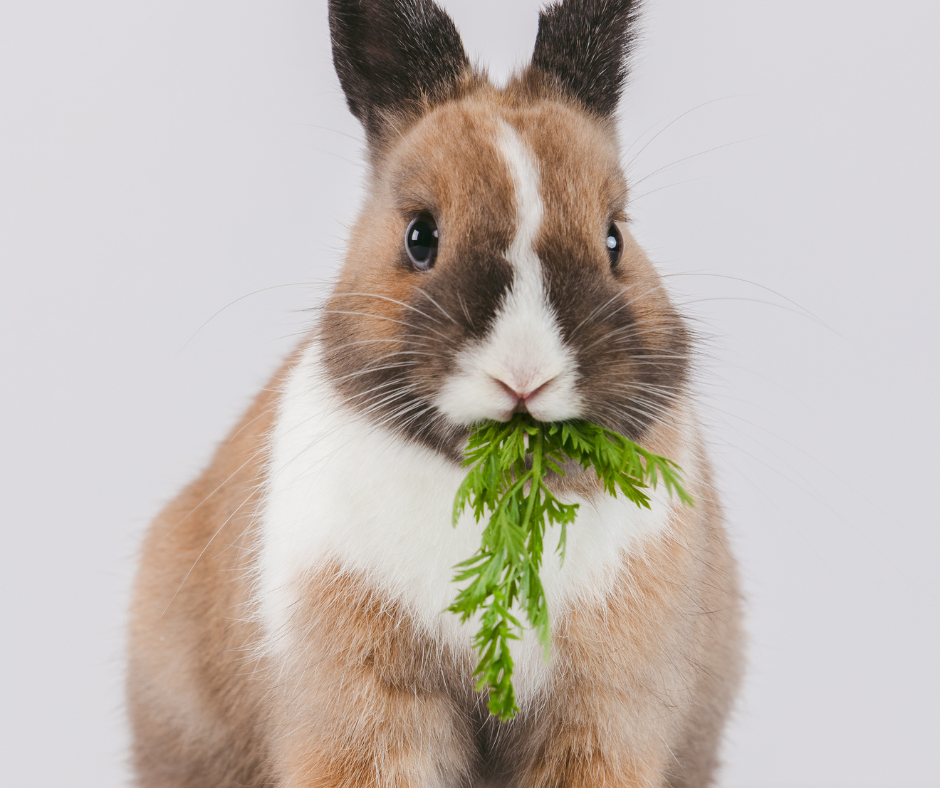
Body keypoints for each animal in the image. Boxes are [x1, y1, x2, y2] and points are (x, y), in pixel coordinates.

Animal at [127, 0, 743, 786]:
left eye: (614, 239)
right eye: (420, 237)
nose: (524, 373)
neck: (503, 487)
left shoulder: (606, 708)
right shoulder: (363, 700)